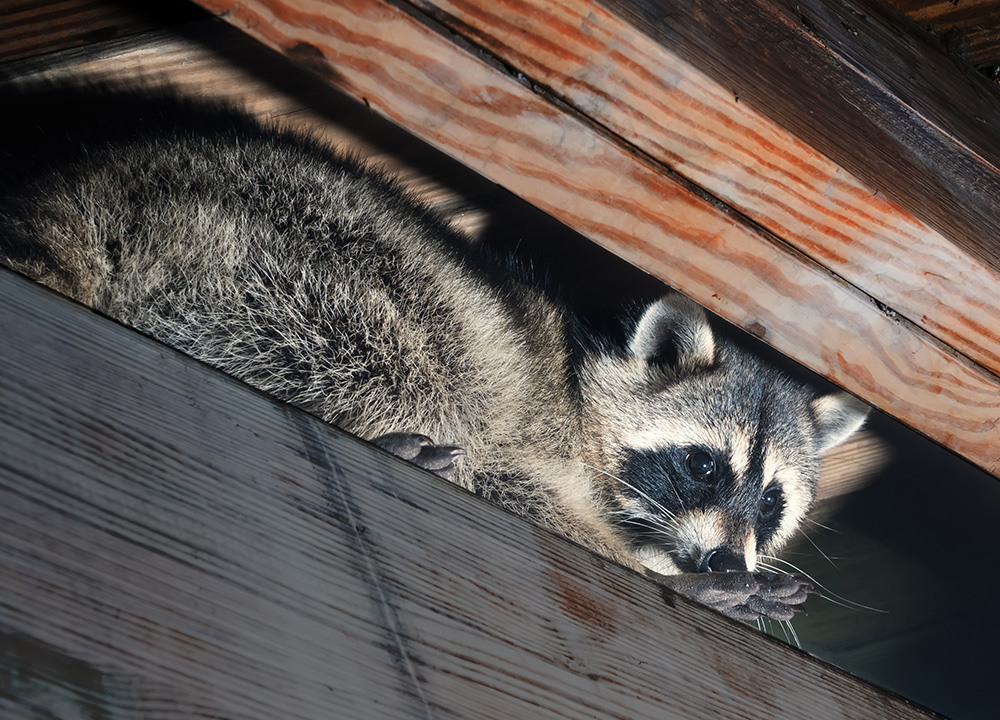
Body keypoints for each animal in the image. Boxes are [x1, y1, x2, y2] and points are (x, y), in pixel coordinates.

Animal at [0, 83, 868, 624]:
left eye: (771, 502)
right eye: (702, 465)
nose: (722, 563)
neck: (583, 384)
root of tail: (91, 189)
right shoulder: (531, 432)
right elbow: (512, 481)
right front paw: (662, 575)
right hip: (283, 260)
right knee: (408, 360)